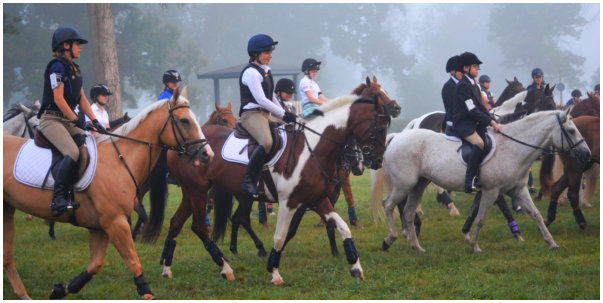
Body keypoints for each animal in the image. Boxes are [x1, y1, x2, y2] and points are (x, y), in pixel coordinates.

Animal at [2, 88, 212, 302]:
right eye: (184, 120)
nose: (208, 154)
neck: (119, 159)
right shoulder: (115, 222)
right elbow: (133, 261)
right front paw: (145, 291)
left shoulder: (100, 227)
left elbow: (95, 265)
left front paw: (61, 290)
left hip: (7, 209)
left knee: (7, 255)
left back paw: (23, 294)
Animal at [372, 109, 588, 254]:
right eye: (570, 130)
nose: (587, 154)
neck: (512, 147)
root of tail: (397, 138)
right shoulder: (492, 191)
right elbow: (482, 218)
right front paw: (474, 245)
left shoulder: (518, 190)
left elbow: (535, 214)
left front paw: (551, 242)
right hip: (405, 185)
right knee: (388, 204)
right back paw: (389, 240)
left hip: (419, 184)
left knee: (408, 212)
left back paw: (416, 246)